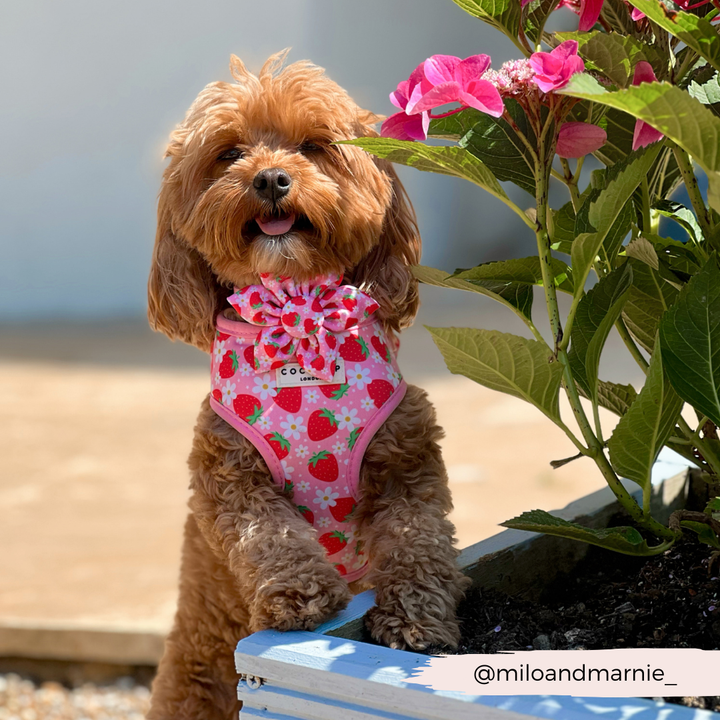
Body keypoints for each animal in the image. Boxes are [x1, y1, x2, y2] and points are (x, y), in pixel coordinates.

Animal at [149, 50, 470, 720]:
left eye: (313, 146)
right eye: (229, 153)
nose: (271, 179)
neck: (296, 312)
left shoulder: (408, 461)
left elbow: (418, 540)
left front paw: (415, 621)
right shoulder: (229, 477)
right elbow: (267, 535)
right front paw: (301, 596)